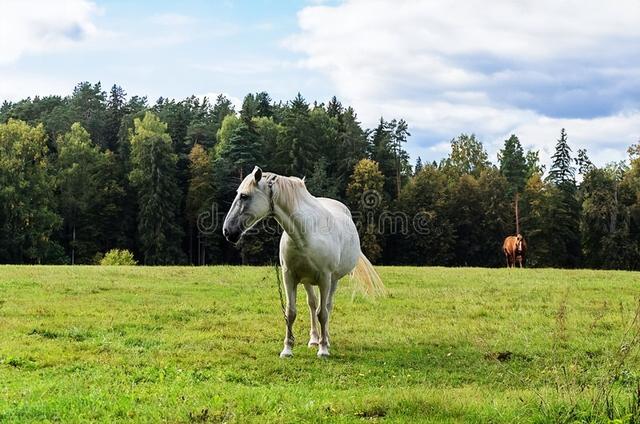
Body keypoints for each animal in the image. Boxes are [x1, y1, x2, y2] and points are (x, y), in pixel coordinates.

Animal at [222, 166, 382, 358]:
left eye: (244, 196)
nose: (227, 231)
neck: (306, 233)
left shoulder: (325, 278)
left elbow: (323, 313)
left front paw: (323, 349)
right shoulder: (289, 277)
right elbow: (291, 312)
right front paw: (287, 349)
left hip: (333, 280)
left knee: (327, 306)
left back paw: (325, 339)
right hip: (307, 281)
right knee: (312, 305)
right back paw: (313, 339)